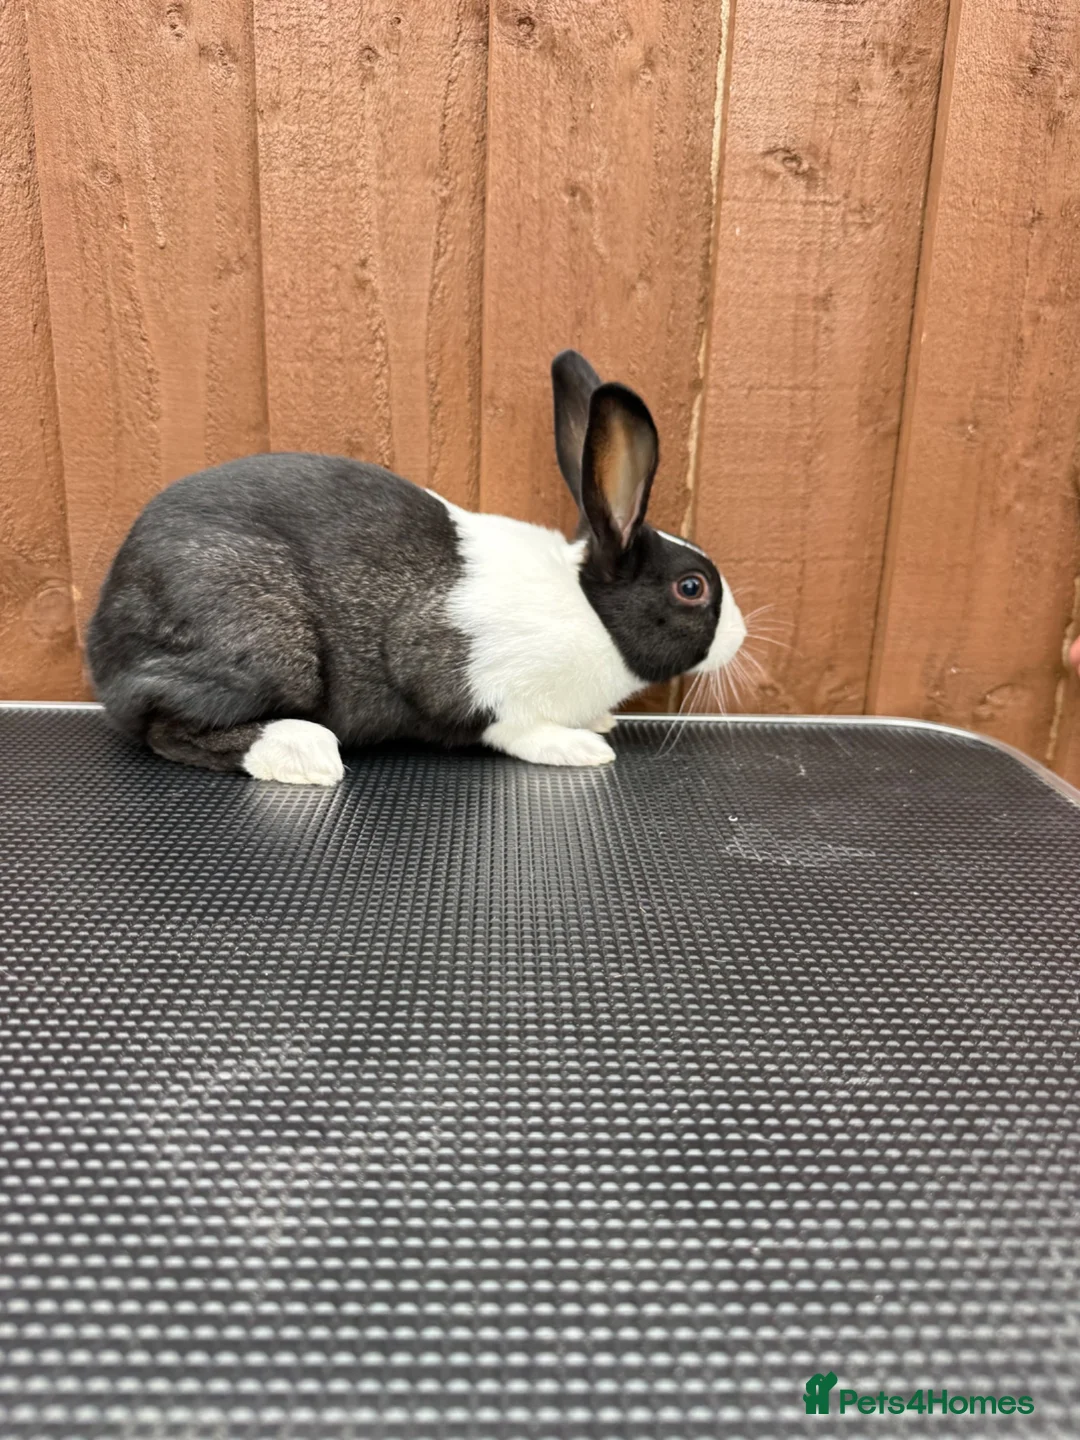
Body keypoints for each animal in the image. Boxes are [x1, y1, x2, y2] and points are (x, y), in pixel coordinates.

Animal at [86, 351, 746, 786]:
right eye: (691, 587)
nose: (741, 639)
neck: (590, 611)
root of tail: (103, 640)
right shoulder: (467, 677)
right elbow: (512, 727)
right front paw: (579, 747)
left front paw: (601, 721)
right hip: (266, 647)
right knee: (164, 729)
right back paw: (302, 751)